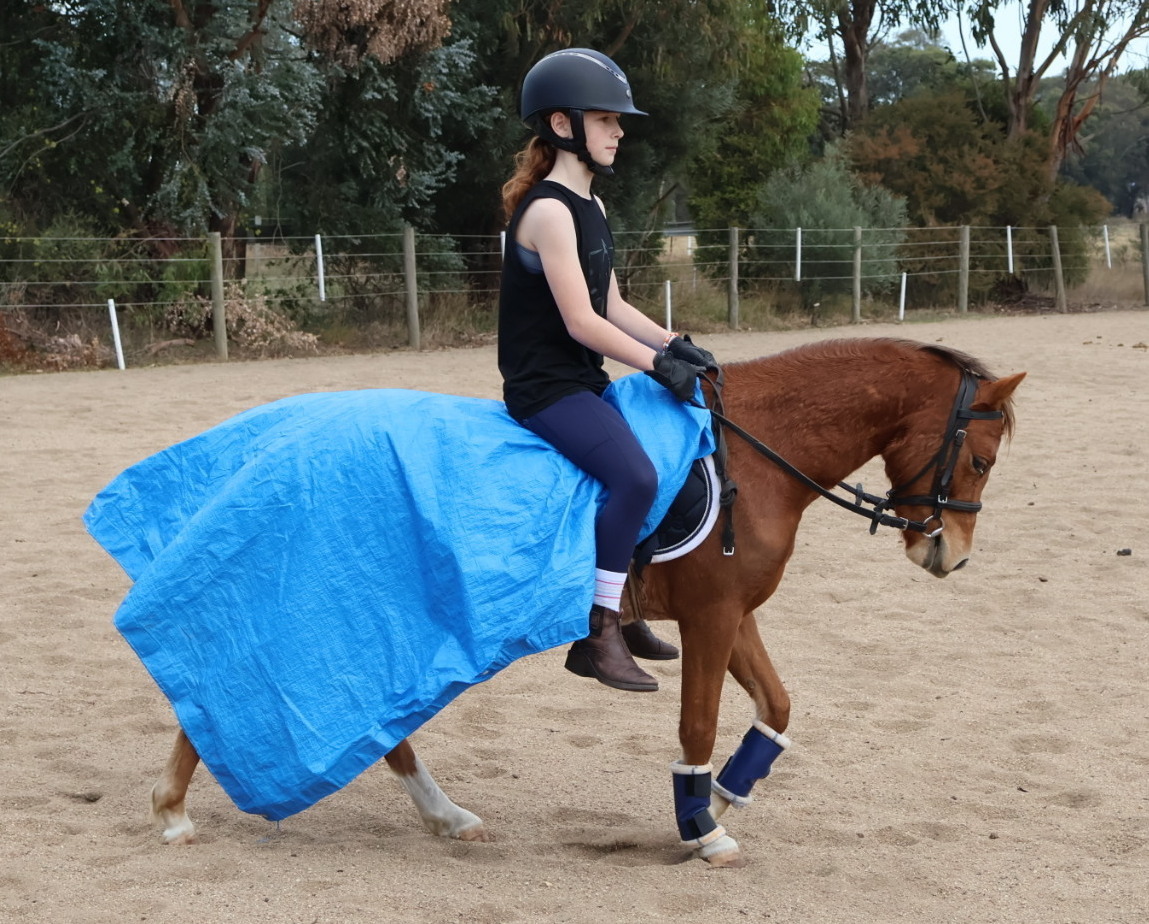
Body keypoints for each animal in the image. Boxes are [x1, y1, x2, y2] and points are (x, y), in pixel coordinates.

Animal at [149, 337, 1024, 867]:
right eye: (980, 459)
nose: (949, 554)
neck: (756, 453)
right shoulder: (710, 617)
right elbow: (696, 723)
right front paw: (700, 828)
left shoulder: (732, 614)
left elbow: (776, 705)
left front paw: (727, 794)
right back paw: (172, 810)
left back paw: (445, 817)